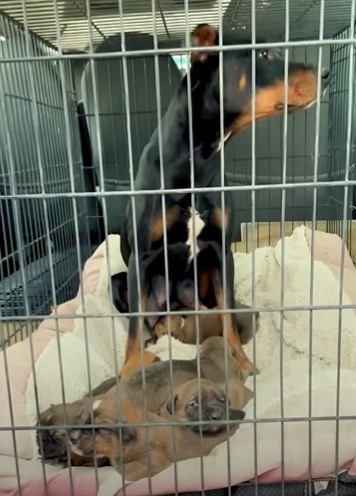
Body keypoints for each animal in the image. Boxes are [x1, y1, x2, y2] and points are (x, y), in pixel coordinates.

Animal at [118, 21, 330, 378]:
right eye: (264, 53)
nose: (327, 74)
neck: (197, 157)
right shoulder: (141, 258)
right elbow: (134, 327)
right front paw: (129, 370)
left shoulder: (220, 251)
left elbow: (228, 314)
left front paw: (240, 361)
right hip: (121, 281)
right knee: (147, 320)